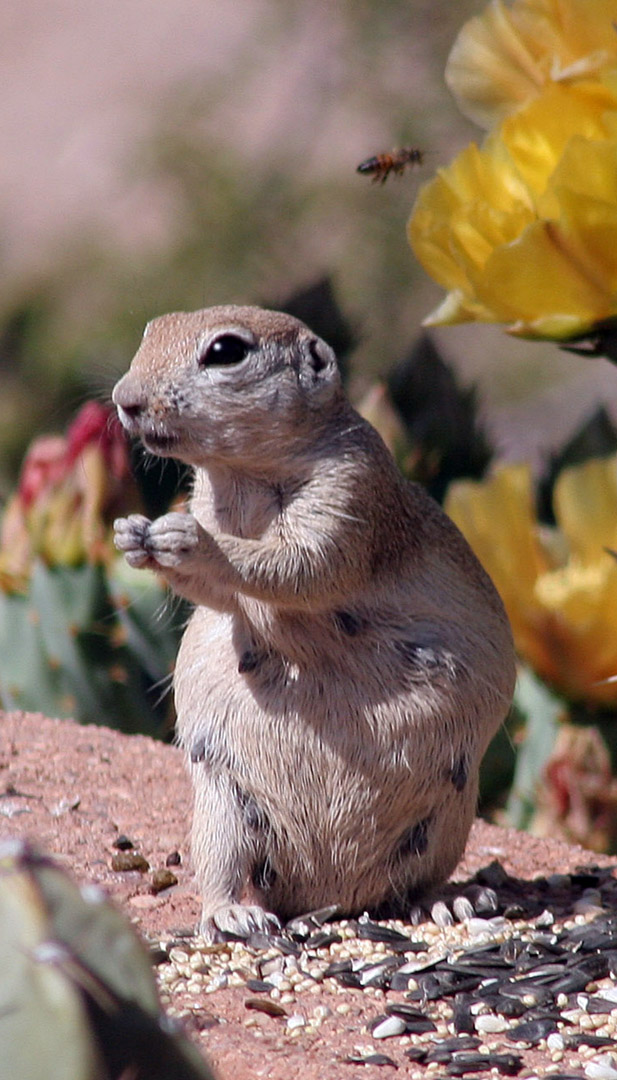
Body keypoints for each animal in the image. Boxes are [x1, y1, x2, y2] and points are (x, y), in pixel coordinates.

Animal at [114, 304, 516, 937]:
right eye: (151, 331)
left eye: (226, 351)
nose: (124, 400)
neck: (242, 475)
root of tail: (331, 895)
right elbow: (222, 596)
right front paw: (133, 536)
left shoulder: (351, 494)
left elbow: (301, 564)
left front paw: (196, 543)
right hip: (224, 809)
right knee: (227, 873)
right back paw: (232, 913)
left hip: (448, 814)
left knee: (416, 884)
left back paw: (447, 902)